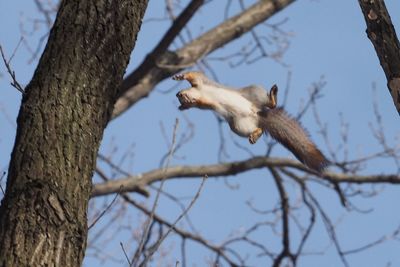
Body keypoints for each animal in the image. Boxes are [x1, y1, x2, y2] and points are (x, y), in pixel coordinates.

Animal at [174, 70, 328, 174]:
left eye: (181, 92)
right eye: (180, 98)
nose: (178, 95)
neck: (198, 93)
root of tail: (257, 113)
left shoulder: (200, 81)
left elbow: (193, 74)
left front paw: (180, 76)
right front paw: (184, 106)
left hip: (255, 92)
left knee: (271, 104)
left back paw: (273, 94)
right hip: (238, 126)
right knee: (258, 127)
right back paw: (256, 134)